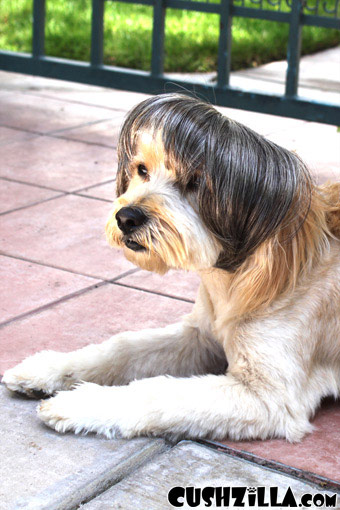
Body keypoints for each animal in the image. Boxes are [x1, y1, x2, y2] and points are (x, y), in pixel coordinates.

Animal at [2, 94, 340, 442]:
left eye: (195, 182)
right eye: (142, 170)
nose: (126, 217)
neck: (235, 277)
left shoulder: (268, 396)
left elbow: (156, 391)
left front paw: (80, 402)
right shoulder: (199, 336)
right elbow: (121, 347)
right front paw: (47, 368)